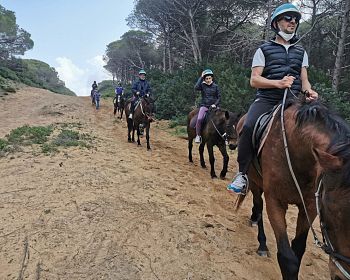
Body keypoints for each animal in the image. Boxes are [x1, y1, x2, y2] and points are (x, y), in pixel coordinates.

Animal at [235, 94, 350, 280]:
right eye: (331, 211)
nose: (341, 275)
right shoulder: (275, 202)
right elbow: (287, 258)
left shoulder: (309, 206)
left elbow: (298, 249)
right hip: (254, 182)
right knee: (258, 206)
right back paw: (262, 244)